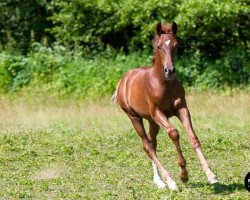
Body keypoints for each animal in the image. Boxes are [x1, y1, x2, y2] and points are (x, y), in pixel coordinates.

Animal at [111, 21, 217, 191]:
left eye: (176, 45)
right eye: (159, 46)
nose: (170, 71)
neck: (164, 84)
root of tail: (122, 81)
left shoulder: (182, 109)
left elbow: (193, 137)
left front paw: (210, 175)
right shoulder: (158, 113)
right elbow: (174, 133)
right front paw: (183, 175)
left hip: (151, 121)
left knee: (153, 144)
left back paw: (159, 181)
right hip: (135, 117)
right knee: (147, 146)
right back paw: (170, 181)